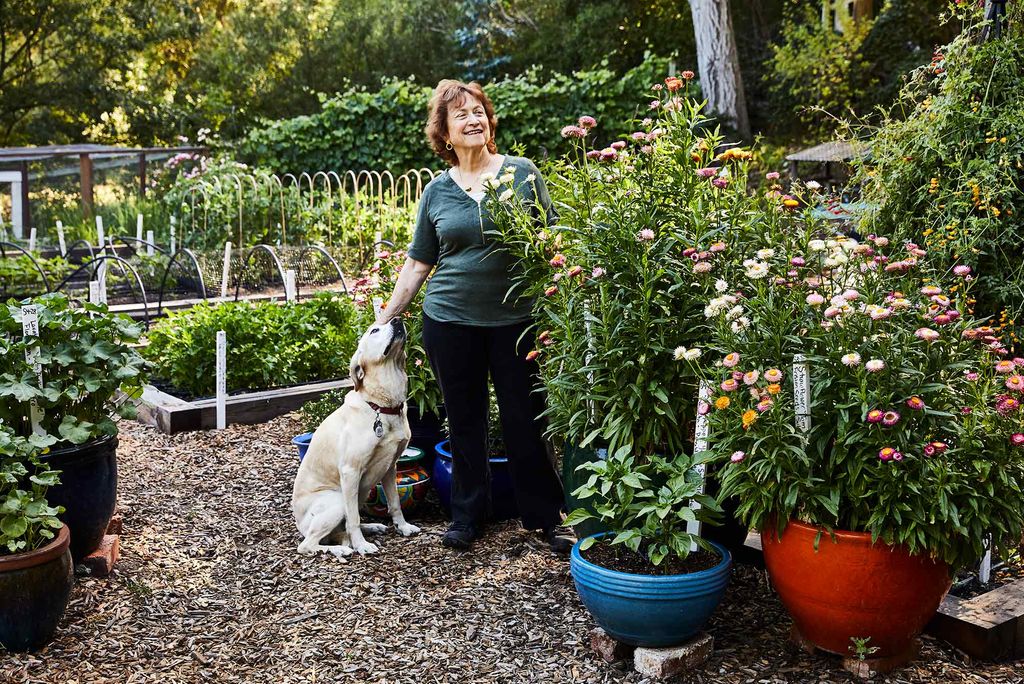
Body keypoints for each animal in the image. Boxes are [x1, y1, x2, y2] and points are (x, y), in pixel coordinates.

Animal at [290, 317, 417, 557]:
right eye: (374, 330)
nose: (397, 319)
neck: (381, 406)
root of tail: (299, 524)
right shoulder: (350, 471)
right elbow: (353, 520)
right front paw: (361, 545)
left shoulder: (390, 467)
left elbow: (395, 502)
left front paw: (403, 527)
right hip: (338, 499)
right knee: (308, 544)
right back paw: (341, 549)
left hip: (361, 492)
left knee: (340, 529)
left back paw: (372, 527)